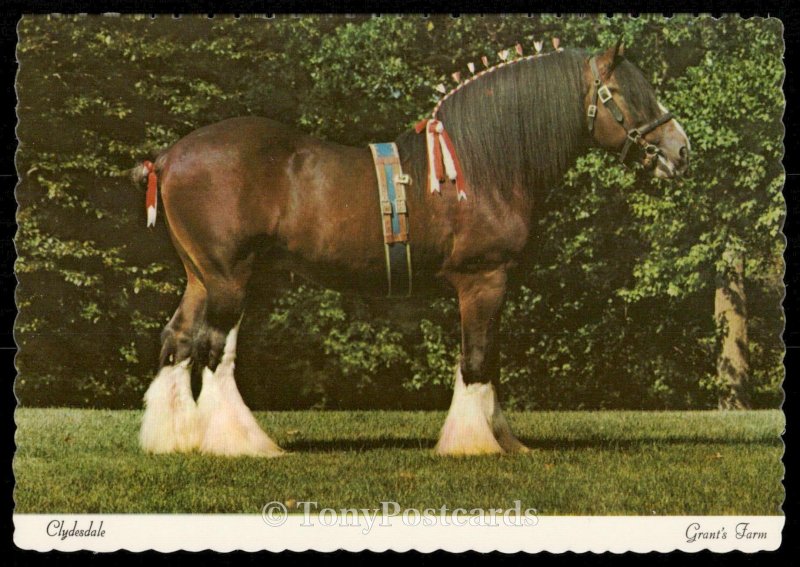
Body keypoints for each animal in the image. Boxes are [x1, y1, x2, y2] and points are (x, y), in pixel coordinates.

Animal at [136, 42, 688, 460]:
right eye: (624, 95)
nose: (680, 150)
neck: (482, 165)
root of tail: (168, 157)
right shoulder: (483, 279)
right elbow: (477, 360)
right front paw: (472, 444)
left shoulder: (491, 284)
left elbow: (488, 360)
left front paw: (504, 440)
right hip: (229, 276)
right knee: (213, 351)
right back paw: (240, 444)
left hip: (201, 276)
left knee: (178, 342)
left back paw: (173, 439)